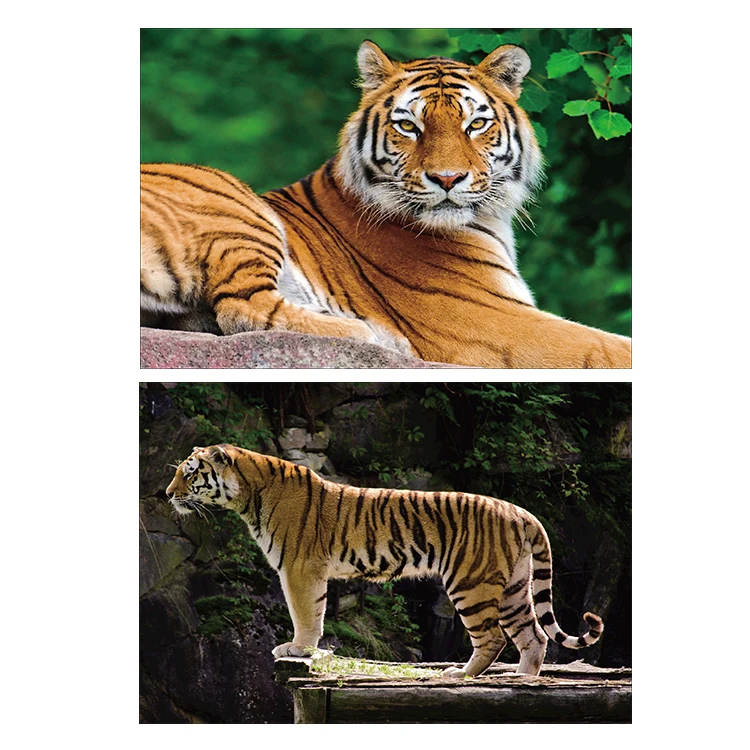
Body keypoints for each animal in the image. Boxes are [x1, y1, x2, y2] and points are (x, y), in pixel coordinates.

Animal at [141, 40, 631, 368]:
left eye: (475, 124)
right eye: (408, 126)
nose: (448, 179)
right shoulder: (493, 319)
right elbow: (607, 346)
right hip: (234, 202)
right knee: (242, 308)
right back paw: (362, 334)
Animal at [166, 444, 604, 677]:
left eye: (190, 473)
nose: (167, 493)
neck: (248, 496)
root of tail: (521, 512)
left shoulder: (299, 568)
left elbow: (305, 613)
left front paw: (297, 649)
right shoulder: (307, 569)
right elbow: (315, 612)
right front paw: (303, 648)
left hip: (471, 583)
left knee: (495, 637)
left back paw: (462, 674)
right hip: (513, 586)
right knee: (535, 636)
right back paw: (522, 680)